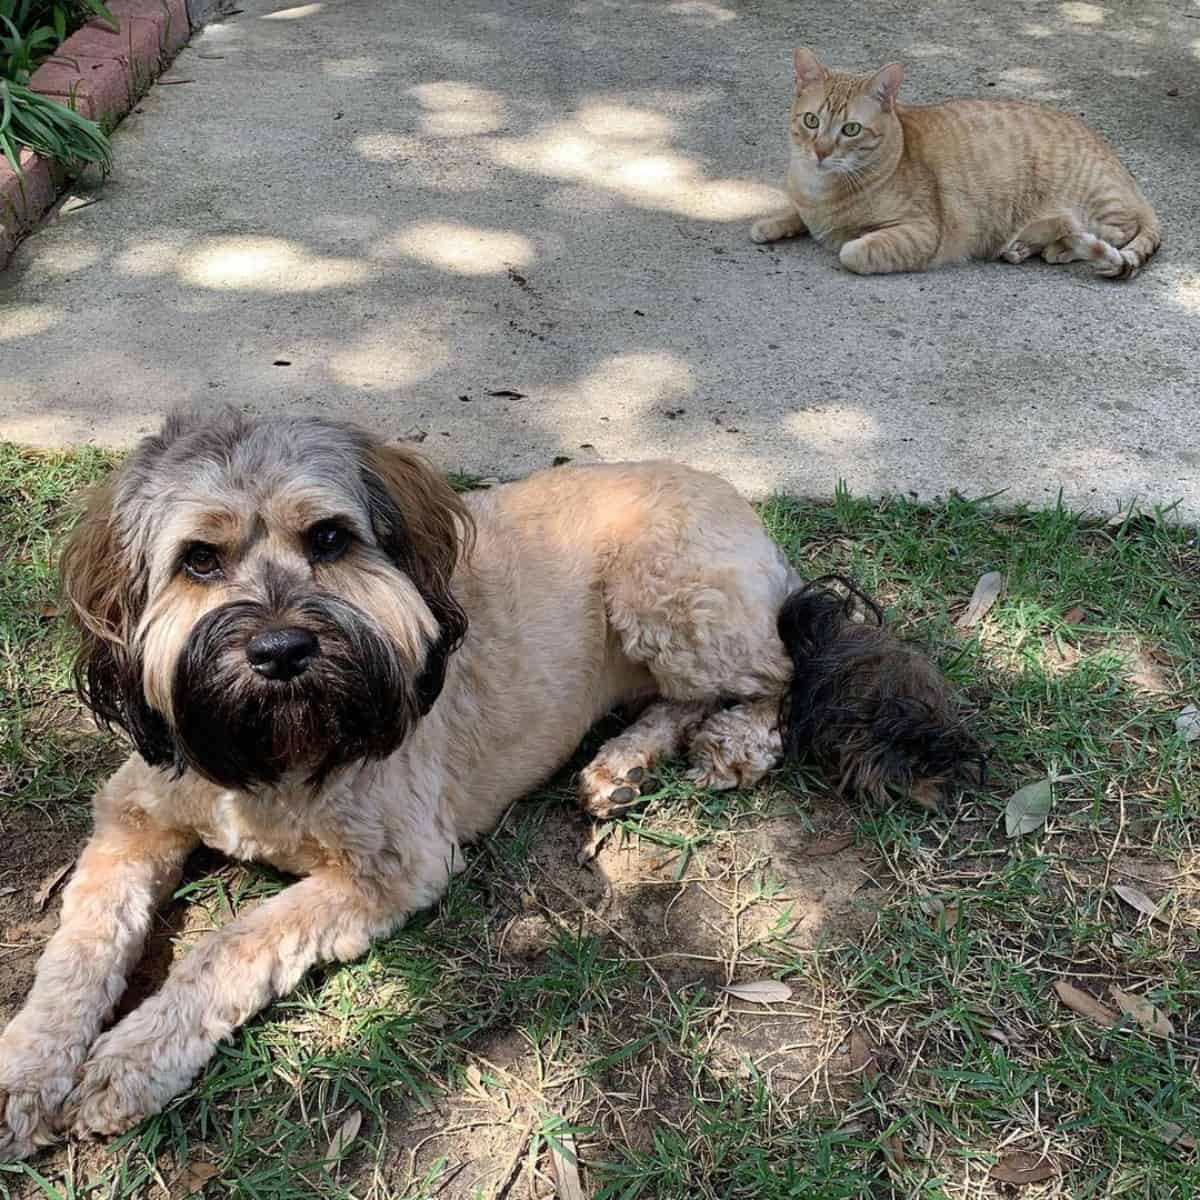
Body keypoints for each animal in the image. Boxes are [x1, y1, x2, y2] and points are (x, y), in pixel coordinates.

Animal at [0, 408, 974, 1156]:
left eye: (329, 539)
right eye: (198, 560)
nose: (280, 651)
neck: (274, 746)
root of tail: (740, 505)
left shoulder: (391, 867)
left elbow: (229, 943)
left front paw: (131, 1059)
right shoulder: (134, 812)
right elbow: (81, 945)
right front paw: (27, 1071)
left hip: (668, 594)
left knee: (778, 674)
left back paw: (728, 742)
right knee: (688, 697)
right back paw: (623, 763)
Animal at [748, 48, 1161, 278]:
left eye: (851, 129)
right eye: (811, 121)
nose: (820, 152)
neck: (822, 190)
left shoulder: (920, 232)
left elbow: (852, 250)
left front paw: (844, 239)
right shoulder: (806, 202)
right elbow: (793, 213)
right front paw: (771, 223)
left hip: (1095, 205)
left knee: (1108, 232)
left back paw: (1056, 245)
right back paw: (1022, 247)